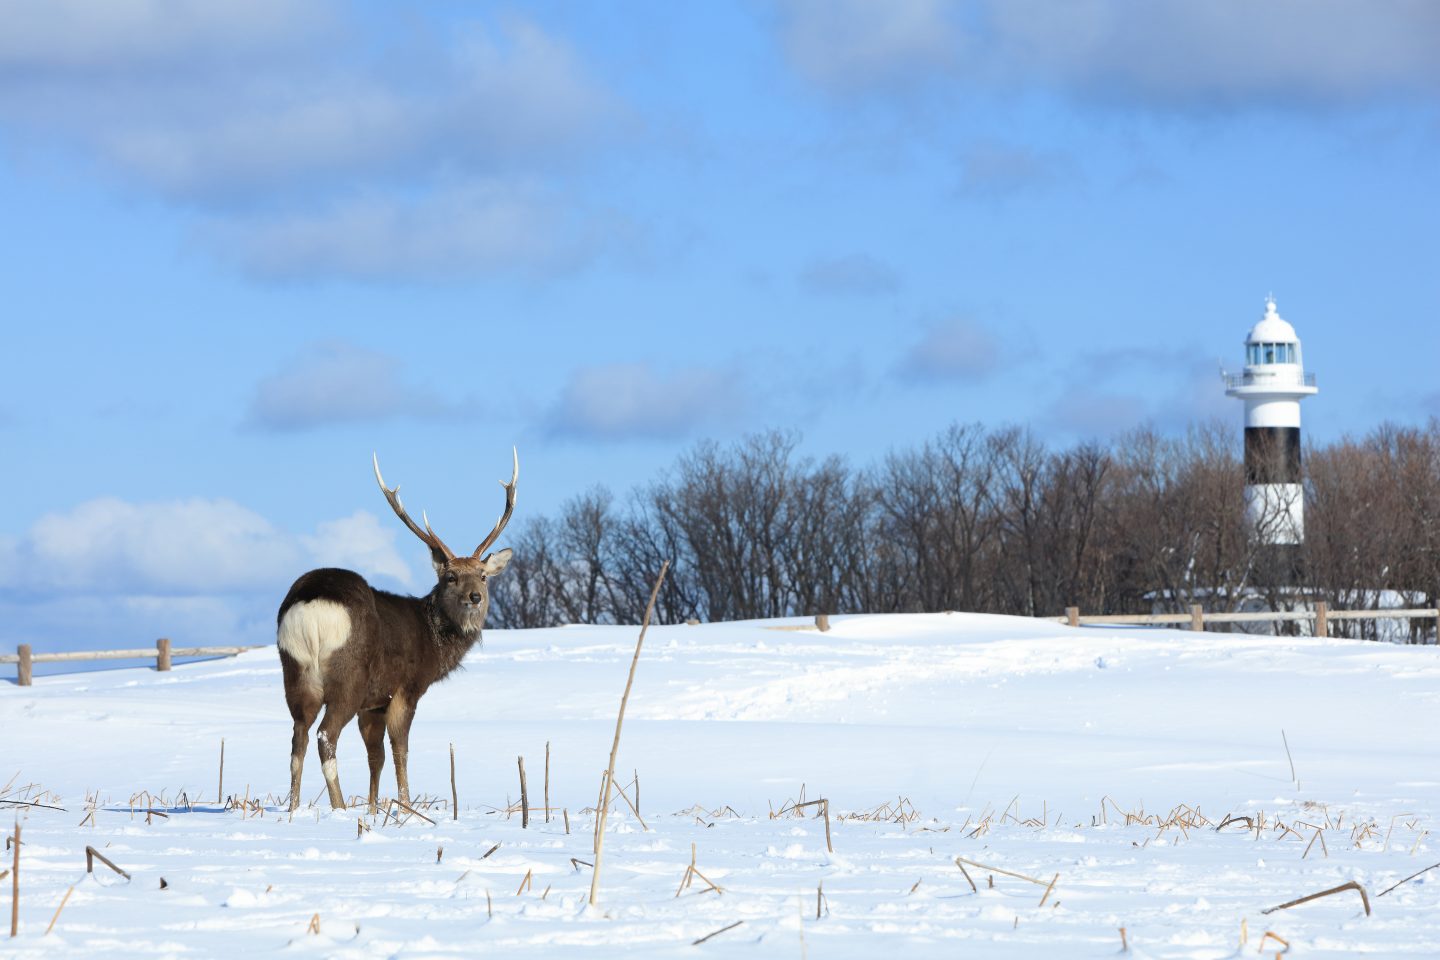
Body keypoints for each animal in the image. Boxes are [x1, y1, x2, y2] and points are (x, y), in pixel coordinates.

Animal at [275, 451, 518, 811]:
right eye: (451, 577)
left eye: (483, 576)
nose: (474, 597)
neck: (432, 642)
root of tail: (311, 604)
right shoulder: (406, 688)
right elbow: (400, 750)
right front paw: (405, 807)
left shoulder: (374, 702)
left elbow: (375, 756)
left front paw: (374, 808)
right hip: (348, 677)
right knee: (325, 735)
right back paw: (339, 807)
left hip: (295, 674)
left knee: (298, 738)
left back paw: (293, 810)